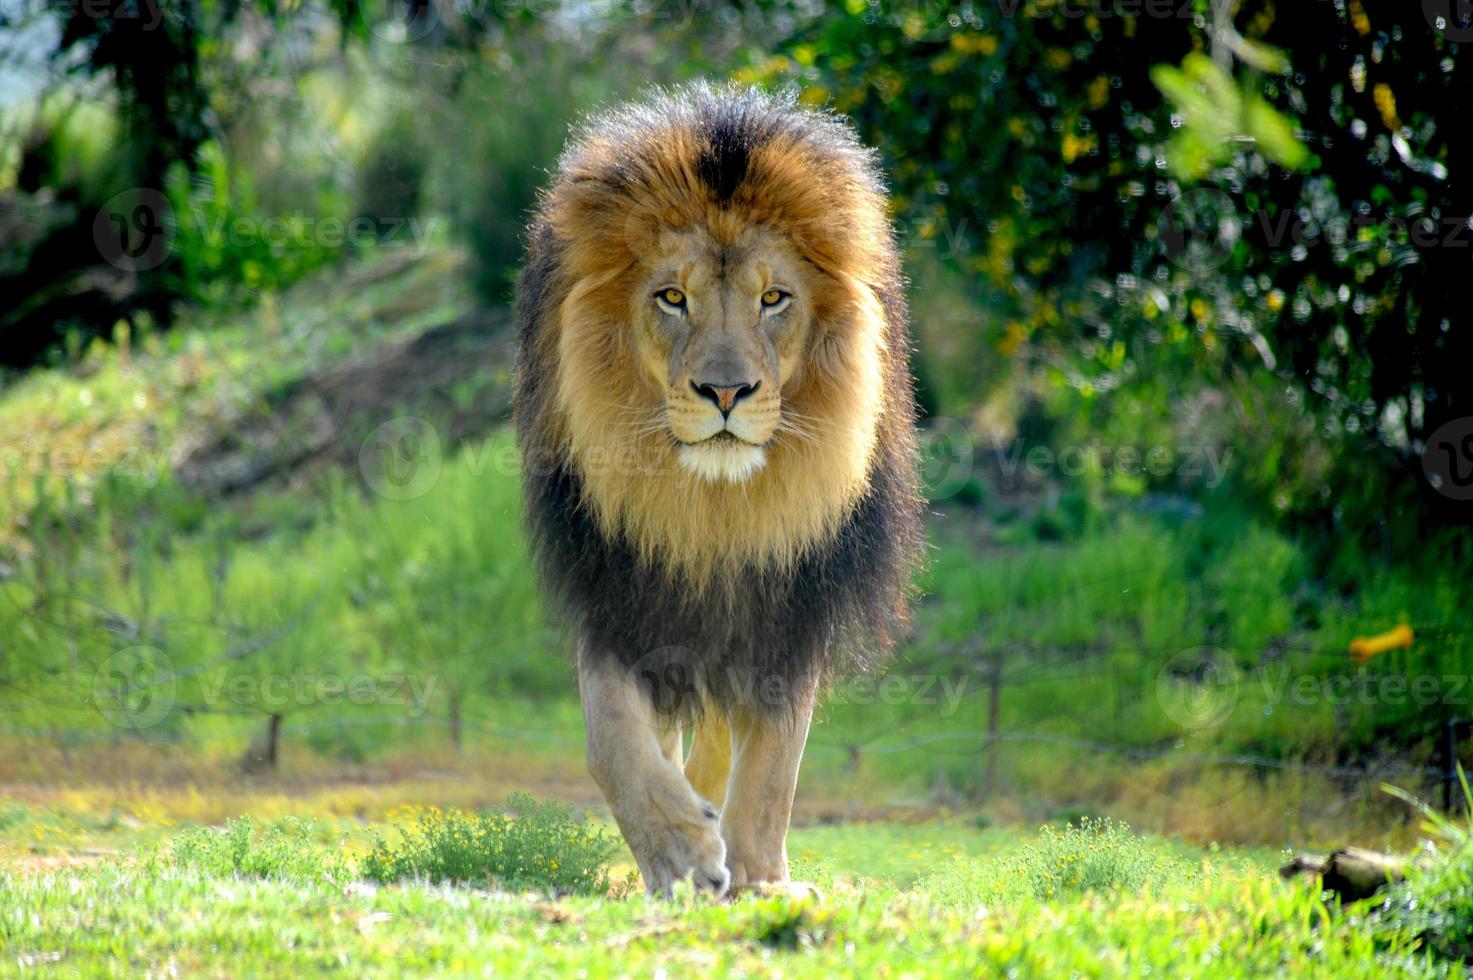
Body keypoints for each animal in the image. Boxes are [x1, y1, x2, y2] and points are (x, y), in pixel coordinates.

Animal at [512, 82, 913, 896]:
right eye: (672, 298)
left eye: (774, 299)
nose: (725, 392)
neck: (712, 509)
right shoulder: (618, 588)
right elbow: (612, 737)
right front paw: (679, 853)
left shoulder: (792, 604)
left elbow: (772, 764)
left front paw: (758, 877)